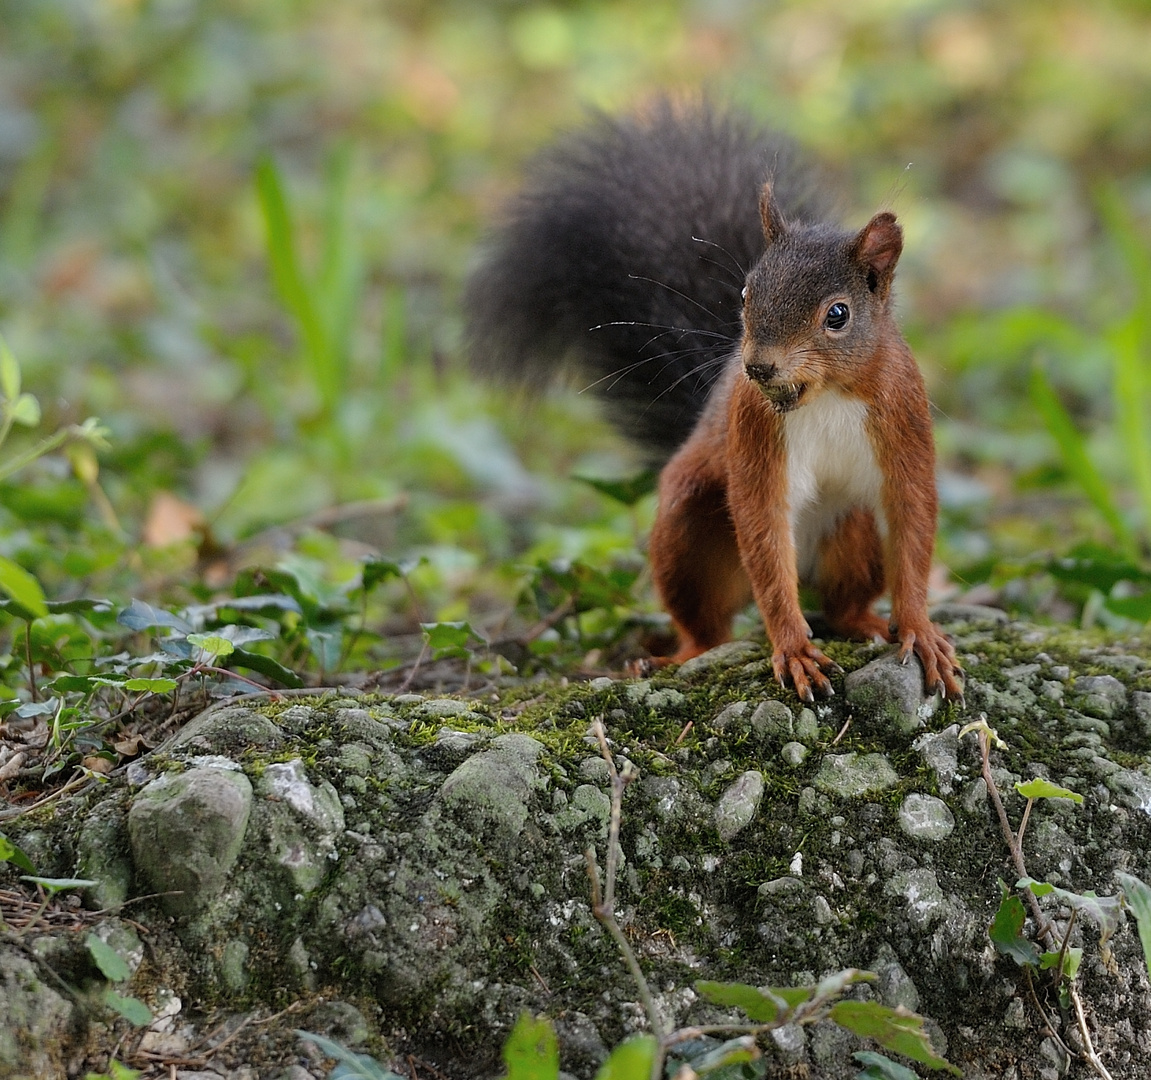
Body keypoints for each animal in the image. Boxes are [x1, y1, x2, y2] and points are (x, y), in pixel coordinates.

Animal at [467, 101, 962, 704]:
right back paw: (673, 656)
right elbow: (762, 527)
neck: (826, 396)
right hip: (689, 530)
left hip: (856, 530)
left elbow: (913, 519)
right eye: (746, 293)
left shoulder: (904, 413)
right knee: (711, 628)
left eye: (838, 315)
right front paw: (793, 649)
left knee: (841, 603)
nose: (758, 367)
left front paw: (920, 629)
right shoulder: (752, 428)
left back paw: (866, 622)